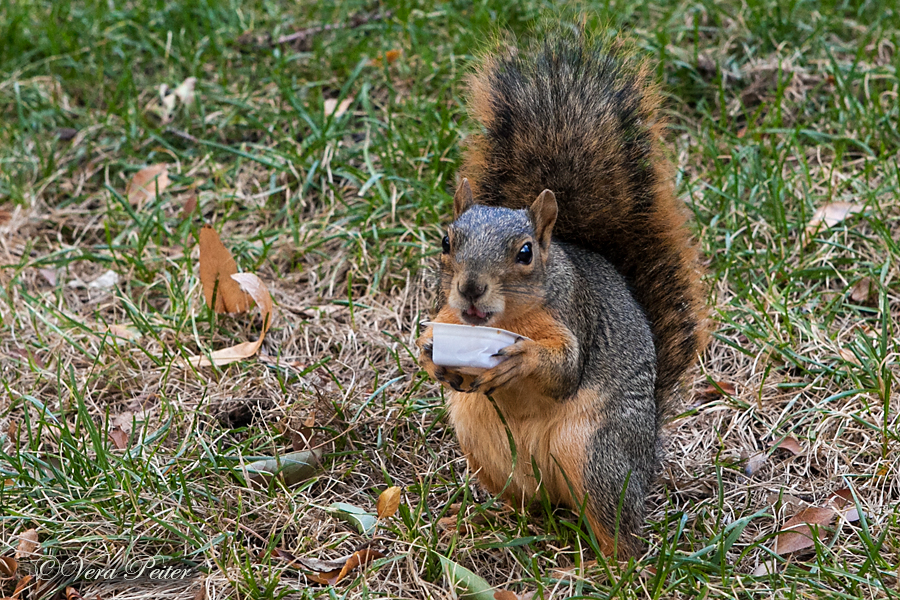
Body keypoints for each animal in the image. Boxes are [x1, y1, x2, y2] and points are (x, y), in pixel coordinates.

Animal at [416, 31, 712, 556]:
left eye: (526, 252)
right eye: (446, 242)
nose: (470, 289)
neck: (503, 320)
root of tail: (646, 459)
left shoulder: (576, 315)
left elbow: (566, 370)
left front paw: (523, 358)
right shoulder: (447, 312)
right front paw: (431, 354)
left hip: (596, 454)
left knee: (620, 533)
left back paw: (597, 563)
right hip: (483, 446)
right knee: (525, 507)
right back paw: (480, 521)